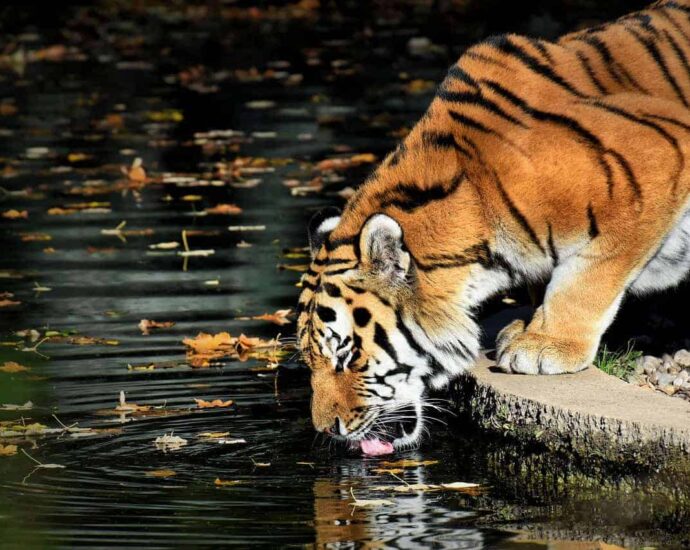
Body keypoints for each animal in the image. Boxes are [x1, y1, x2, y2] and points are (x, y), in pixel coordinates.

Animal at [297, 0, 690, 454]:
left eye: (346, 357)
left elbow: (588, 276)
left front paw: (546, 344)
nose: (326, 428)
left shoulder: (654, 160)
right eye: (308, 358)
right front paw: (528, 326)